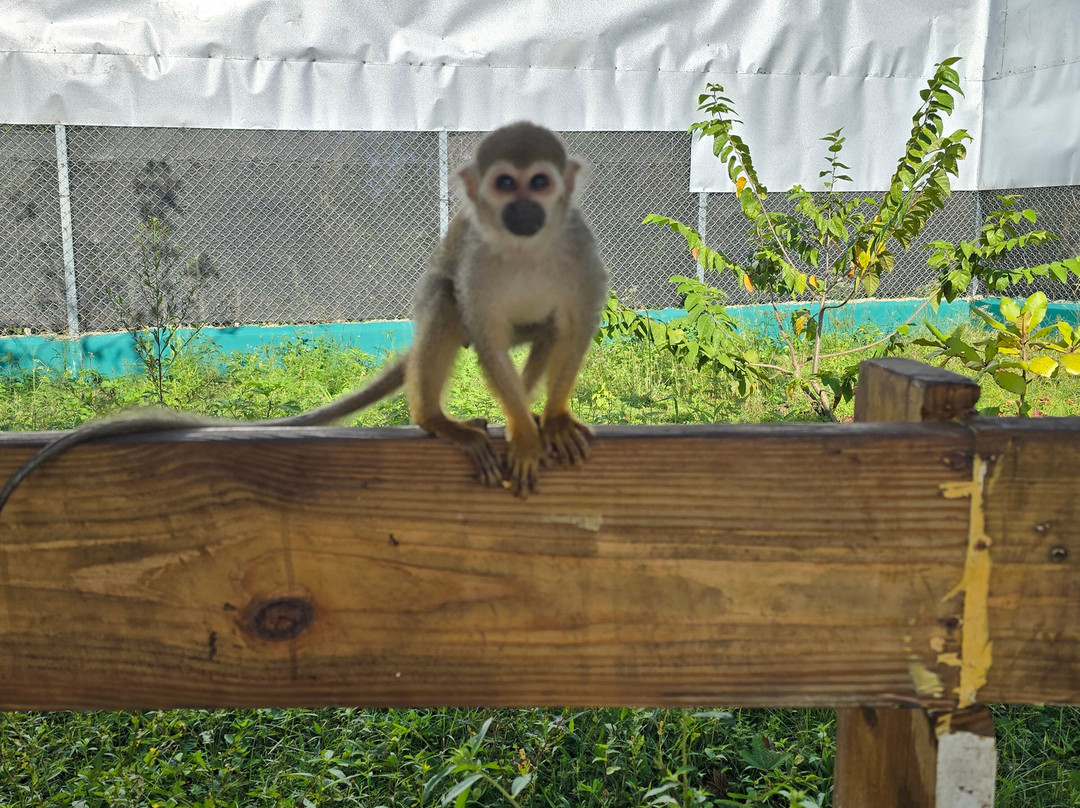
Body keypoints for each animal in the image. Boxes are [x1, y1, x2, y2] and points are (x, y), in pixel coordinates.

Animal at [0, 122, 607, 510]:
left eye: (540, 183)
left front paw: (549, 420)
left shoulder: (579, 245)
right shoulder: (478, 259)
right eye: (506, 184)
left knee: (545, 328)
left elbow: (577, 325)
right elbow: (485, 335)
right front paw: (525, 434)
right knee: (445, 296)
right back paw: (435, 419)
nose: (522, 209)